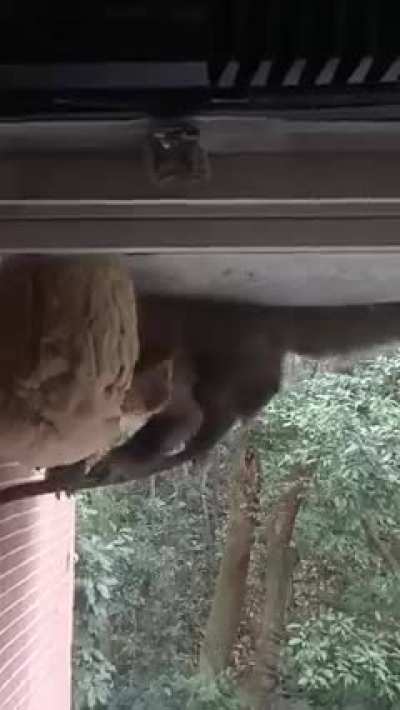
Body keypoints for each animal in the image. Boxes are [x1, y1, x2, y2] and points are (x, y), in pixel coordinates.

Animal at [2, 295, 400, 503]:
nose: (151, 395)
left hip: (229, 357)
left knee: (230, 400)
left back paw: (201, 445)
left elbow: (180, 415)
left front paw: (108, 460)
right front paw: (65, 471)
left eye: (133, 392)